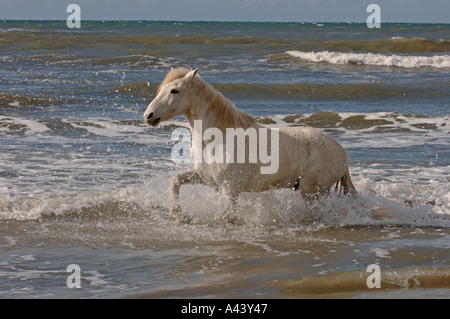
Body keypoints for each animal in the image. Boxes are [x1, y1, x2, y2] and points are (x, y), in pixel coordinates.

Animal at [144, 68, 356, 222]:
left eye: (174, 90)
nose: (149, 116)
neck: (217, 140)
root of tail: (342, 152)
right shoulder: (205, 178)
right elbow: (175, 181)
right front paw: (179, 215)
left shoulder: (229, 190)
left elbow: (226, 216)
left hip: (309, 190)